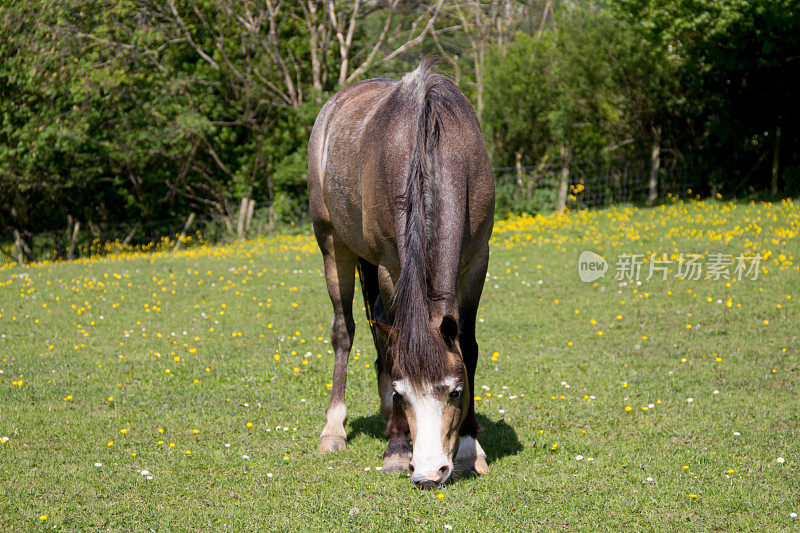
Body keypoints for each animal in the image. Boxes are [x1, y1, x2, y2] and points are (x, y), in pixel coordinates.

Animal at [306, 57, 494, 486]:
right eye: (404, 394)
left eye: (455, 392)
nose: (427, 472)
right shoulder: (392, 267)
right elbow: (393, 349)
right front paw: (396, 448)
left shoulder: (477, 260)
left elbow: (468, 346)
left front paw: (469, 448)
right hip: (333, 247)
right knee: (346, 331)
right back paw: (335, 429)